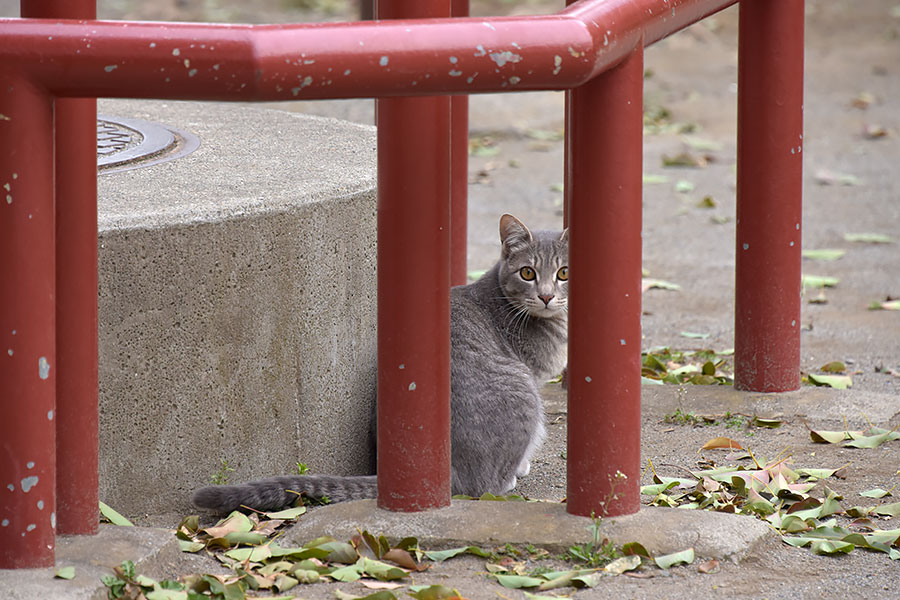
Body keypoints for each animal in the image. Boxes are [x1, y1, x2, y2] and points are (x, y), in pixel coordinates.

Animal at [193, 213, 568, 512]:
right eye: (528, 272)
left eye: (563, 273)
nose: (547, 295)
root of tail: (442, 472)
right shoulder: (534, 375)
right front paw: (523, 466)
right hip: (524, 390)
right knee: (489, 482)